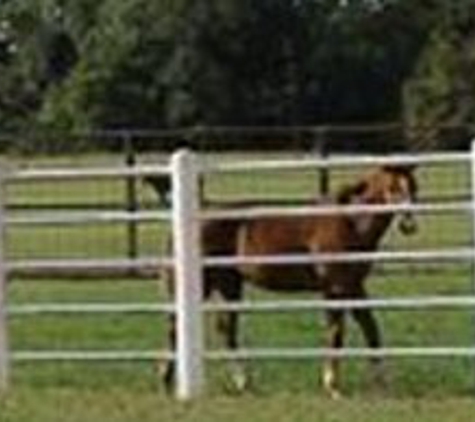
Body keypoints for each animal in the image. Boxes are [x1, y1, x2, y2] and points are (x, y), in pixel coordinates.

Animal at [162, 163, 418, 398]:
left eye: (413, 185)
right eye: (393, 187)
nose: (408, 224)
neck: (350, 222)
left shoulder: (354, 286)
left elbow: (370, 328)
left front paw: (383, 383)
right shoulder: (336, 287)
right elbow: (336, 333)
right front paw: (333, 386)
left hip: (230, 285)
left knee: (226, 329)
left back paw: (243, 383)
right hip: (205, 285)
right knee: (177, 325)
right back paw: (167, 380)